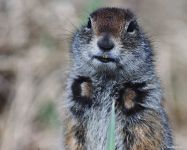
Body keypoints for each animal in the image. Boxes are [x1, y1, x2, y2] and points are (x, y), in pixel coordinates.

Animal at [62, 7, 174, 150]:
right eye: (88, 23)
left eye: (131, 27)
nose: (105, 43)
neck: (107, 80)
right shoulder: (74, 115)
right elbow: (72, 139)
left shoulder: (146, 114)